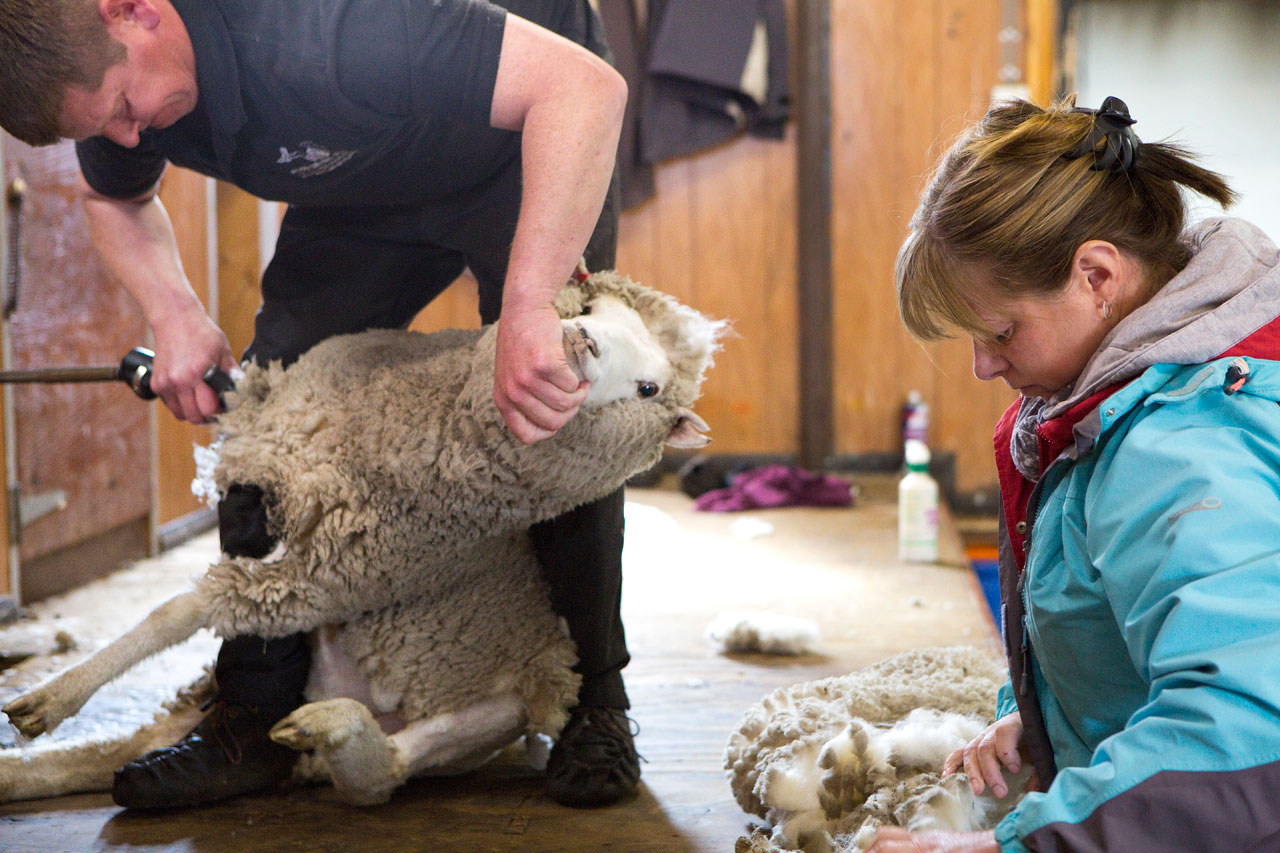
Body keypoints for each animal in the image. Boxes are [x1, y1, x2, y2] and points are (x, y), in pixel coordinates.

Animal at [0, 267, 721, 804]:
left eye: (649, 387)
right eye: (591, 305)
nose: (578, 343)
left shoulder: (336, 578)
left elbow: (177, 610)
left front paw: (54, 694)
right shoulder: (271, 459)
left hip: (503, 703)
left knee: (388, 768)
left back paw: (331, 727)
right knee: (111, 753)